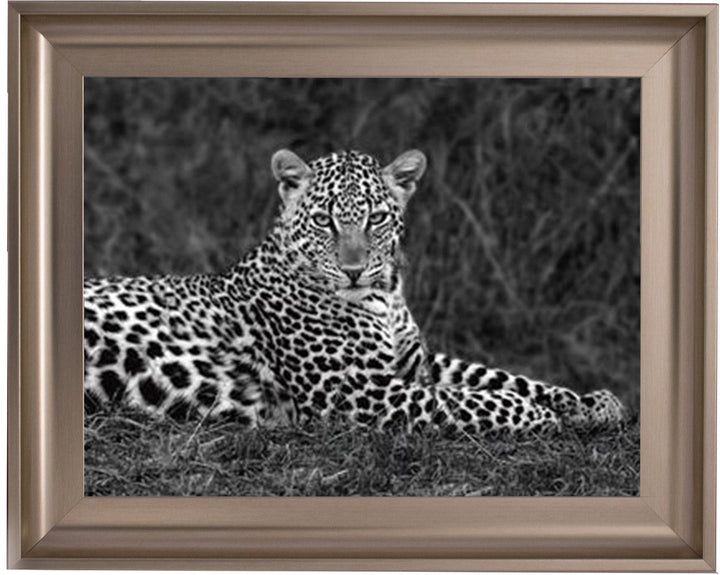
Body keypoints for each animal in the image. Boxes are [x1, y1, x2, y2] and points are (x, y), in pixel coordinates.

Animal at [84, 149, 625, 436]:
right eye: (325, 220)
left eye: (377, 218)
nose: (354, 270)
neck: (386, 295)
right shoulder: (354, 391)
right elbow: (468, 400)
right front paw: (541, 414)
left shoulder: (416, 364)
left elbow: (495, 376)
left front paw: (590, 402)